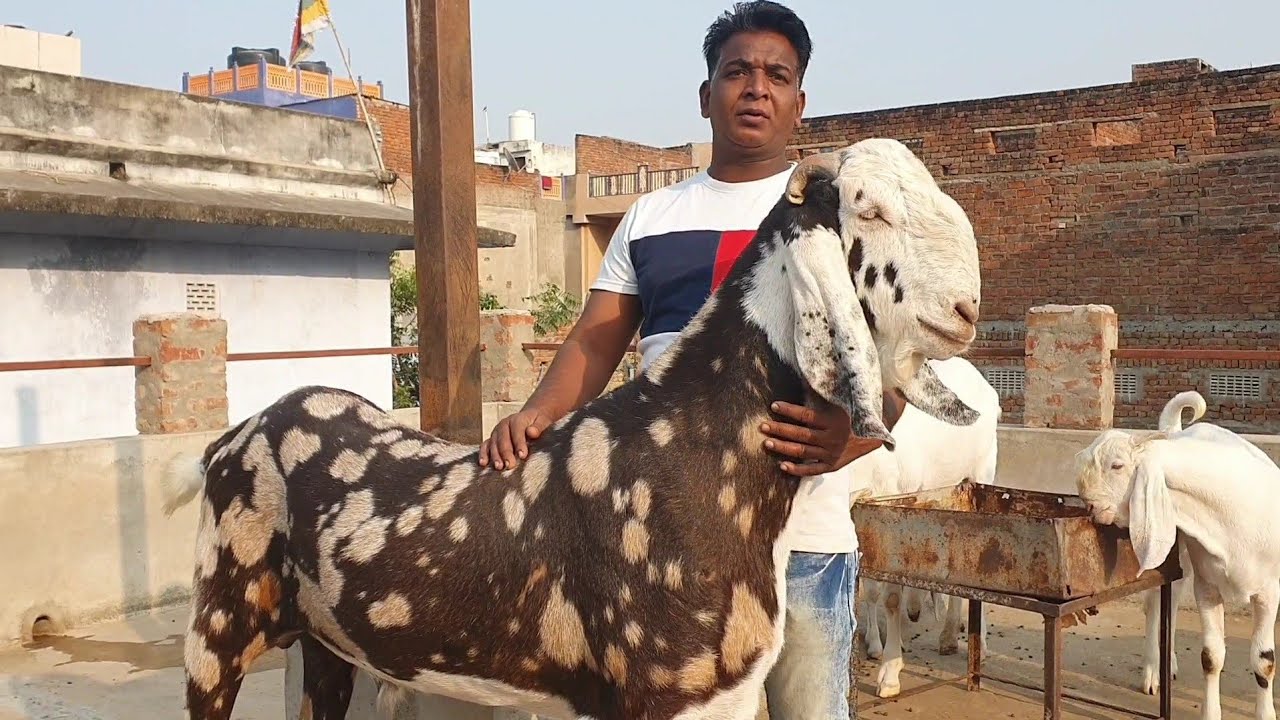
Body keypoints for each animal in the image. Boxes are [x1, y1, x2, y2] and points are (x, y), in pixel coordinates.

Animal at [160, 138, 984, 720]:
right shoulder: (661, 693)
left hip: (326, 641)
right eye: (869, 210)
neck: (689, 448)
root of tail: (228, 441)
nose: (967, 310)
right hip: (215, 630)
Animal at [1075, 389, 1280, 720]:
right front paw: (1210, 713)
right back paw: (1153, 672)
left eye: (1117, 466)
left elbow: (1264, 661)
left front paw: (1266, 714)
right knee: (1158, 603)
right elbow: (1211, 656)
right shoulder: (1208, 587)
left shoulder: (1269, 591)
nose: (1089, 506)